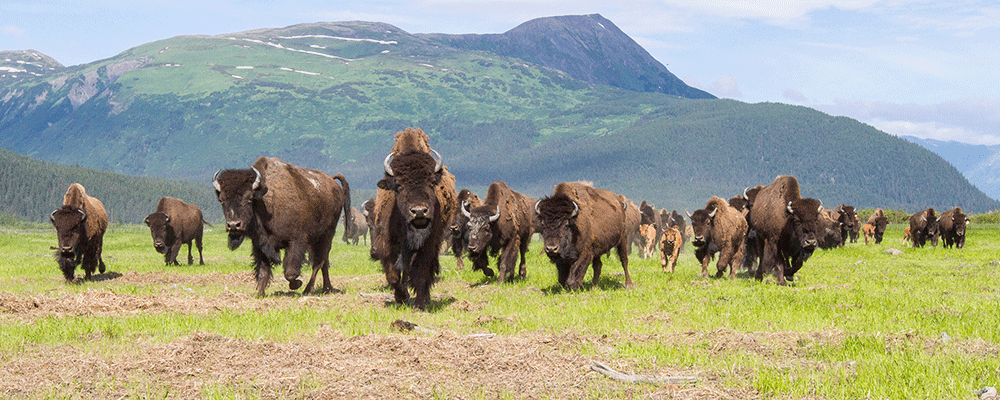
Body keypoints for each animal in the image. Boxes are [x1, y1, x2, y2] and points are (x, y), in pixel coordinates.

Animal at [213, 156, 351, 296]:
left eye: (249, 199)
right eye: (221, 200)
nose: (233, 225)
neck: (266, 203)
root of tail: (333, 182)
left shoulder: (296, 242)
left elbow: (290, 272)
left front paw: (297, 284)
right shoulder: (260, 246)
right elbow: (263, 271)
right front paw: (260, 294)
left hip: (327, 235)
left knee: (319, 262)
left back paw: (309, 290)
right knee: (324, 262)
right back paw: (327, 288)